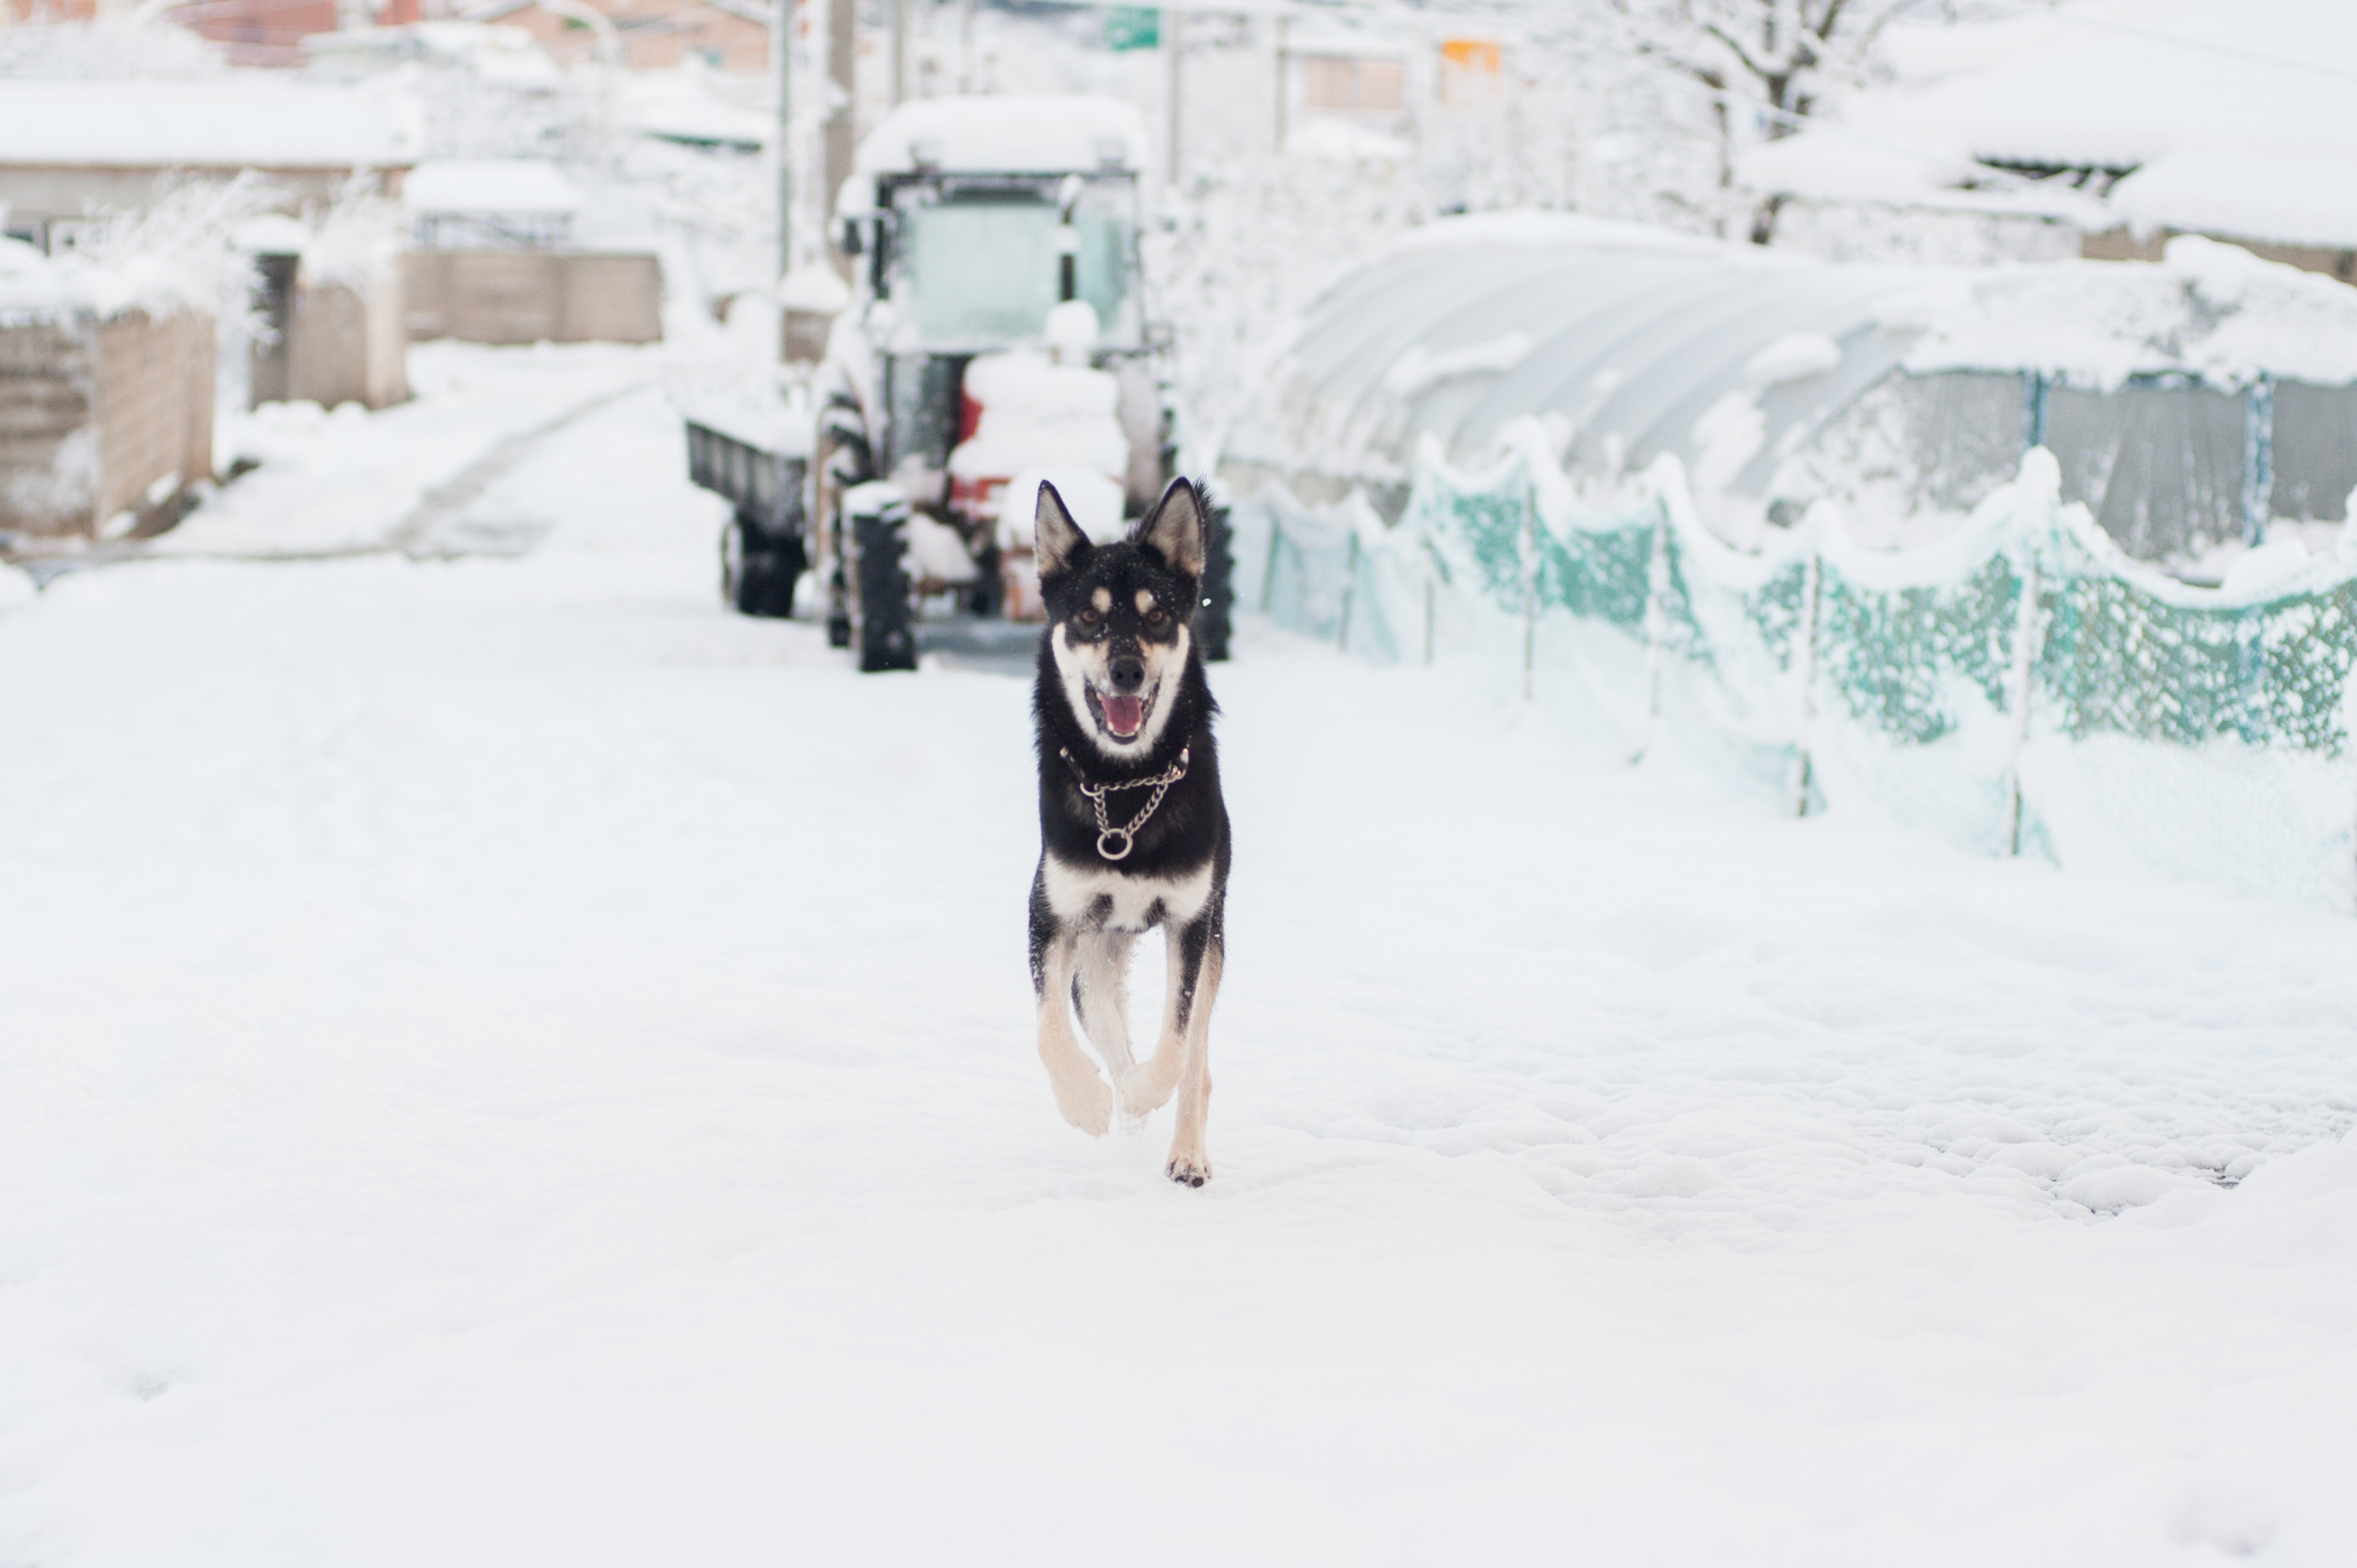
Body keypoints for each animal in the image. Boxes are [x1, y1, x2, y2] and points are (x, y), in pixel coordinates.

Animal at [1023, 476, 1235, 1188]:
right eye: (1088, 619)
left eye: (1156, 617)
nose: (1126, 671)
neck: (1128, 787)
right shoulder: (1051, 915)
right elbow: (1049, 1028)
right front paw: (1085, 1103)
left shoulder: (1193, 923)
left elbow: (1179, 1042)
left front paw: (1149, 1095)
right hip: (1094, 954)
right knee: (1106, 1030)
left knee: (1196, 1057)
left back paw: (1185, 1147)